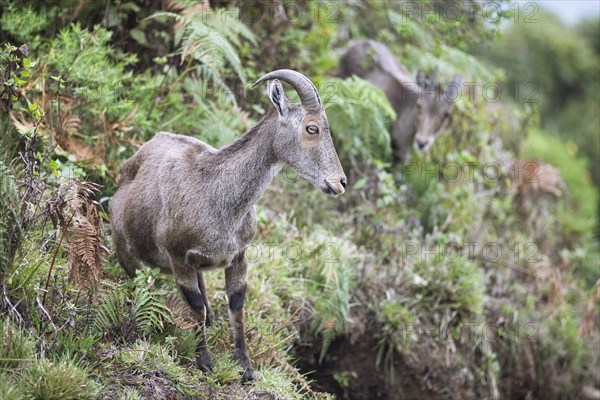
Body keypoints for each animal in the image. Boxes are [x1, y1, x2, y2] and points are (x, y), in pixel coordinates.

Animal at [111, 69, 346, 382]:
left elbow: (236, 305)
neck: (218, 195)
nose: (340, 182)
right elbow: (195, 305)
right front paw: (205, 362)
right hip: (129, 254)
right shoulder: (179, 256)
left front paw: (245, 368)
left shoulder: (238, 257)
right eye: (312, 128)